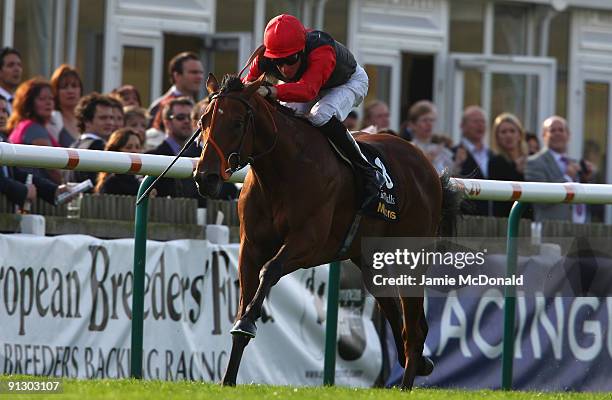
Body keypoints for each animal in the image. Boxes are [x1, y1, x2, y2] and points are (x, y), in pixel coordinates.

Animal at [195, 73, 460, 390]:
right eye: (204, 120)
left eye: (236, 122)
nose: (206, 177)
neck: (281, 171)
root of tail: (427, 165)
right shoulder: (251, 248)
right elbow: (244, 298)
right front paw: (229, 376)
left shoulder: (309, 243)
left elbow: (270, 271)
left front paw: (247, 323)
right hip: (371, 262)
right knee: (403, 323)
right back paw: (420, 365)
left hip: (411, 257)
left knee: (415, 331)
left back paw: (407, 384)